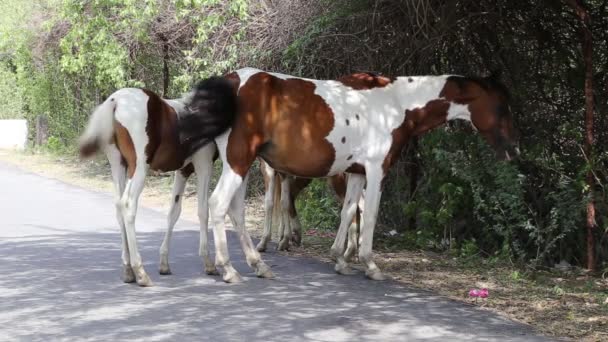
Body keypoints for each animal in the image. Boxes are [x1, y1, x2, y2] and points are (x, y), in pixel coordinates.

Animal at [78, 85, 256, 286]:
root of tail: (115, 101)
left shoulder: (183, 170)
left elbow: (173, 212)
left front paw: (164, 264)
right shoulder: (203, 163)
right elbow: (203, 211)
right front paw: (209, 264)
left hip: (118, 164)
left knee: (118, 207)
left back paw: (128, 271)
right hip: (139, 167)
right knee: (128, 204)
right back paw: (141, 272)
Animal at [180, 67, 516, 284]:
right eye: (500, 107)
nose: (513, 151)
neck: (396, 105)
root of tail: (231, 81)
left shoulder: (355, 173)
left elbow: (349, 211)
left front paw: (341, 260)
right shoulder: (377, 169)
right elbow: (369, 216)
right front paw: (370, 264)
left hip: (238, 163)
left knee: (234, 210)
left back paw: (258, 264)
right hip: (239, 161)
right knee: (218, 205)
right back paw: (229, 269)